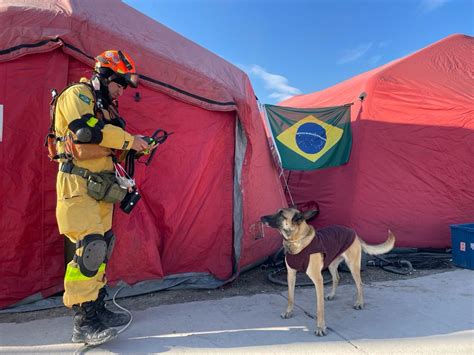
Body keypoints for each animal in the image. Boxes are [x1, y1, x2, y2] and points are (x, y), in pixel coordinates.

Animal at [262, 209, 394, 336]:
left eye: (281, 214)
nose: (261, 218)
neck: (296, 241)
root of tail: (354, 233)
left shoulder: (318, 280)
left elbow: (320, 308)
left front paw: (320, 327)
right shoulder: (290, 275)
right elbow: (290, 297)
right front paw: (288, 312)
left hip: (353, 266)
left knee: (360, 284)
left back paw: (359, 303)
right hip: (331, 264)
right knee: (336, 278)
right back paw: (332, 295)